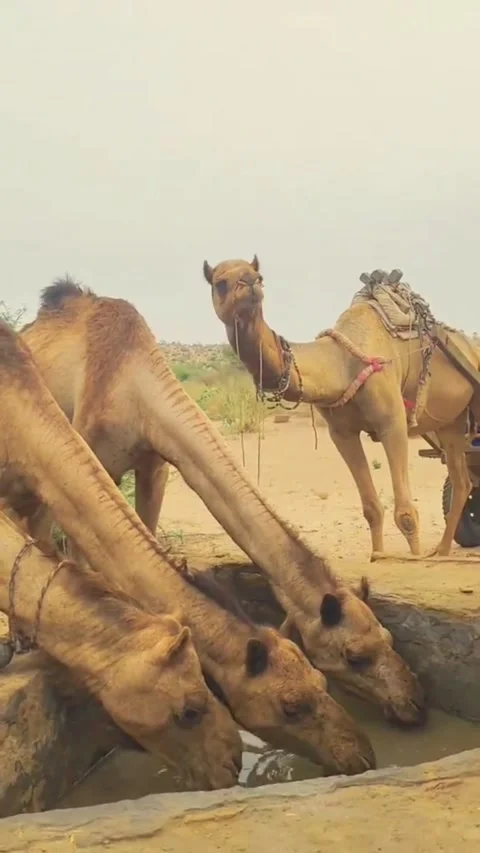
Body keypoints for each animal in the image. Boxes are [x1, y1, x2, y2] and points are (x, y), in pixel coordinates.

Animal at [13, 279, 425, 727]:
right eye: (354, 656)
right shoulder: (91, 452)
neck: (136, 386)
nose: (412, 703)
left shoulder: (154, 467)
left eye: (386, 637)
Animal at [204, 256, 480, 561]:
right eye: (220, 282)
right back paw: (441, 551)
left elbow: (406, 514)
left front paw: (414, 559)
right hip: (451, 424)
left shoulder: (392, 421)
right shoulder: (341, 432)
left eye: (259, 276)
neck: (342, 365)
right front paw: (378, 556)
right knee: (463, 481)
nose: (250, 284)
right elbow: (371, 509)